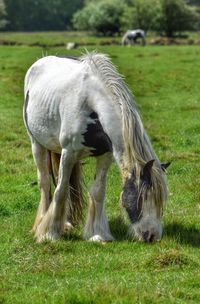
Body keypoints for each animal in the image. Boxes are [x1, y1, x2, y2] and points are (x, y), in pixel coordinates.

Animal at [23, 51, 170, 242]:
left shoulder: (105, 155)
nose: (152, 236)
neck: (91, 103)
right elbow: (60, 191)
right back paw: (41, 223)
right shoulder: (69, 152)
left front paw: (98, 234)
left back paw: (67, 223)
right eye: (143, 196)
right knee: (46, 182)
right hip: (37, 144)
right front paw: (49, 233)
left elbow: (98, 192)